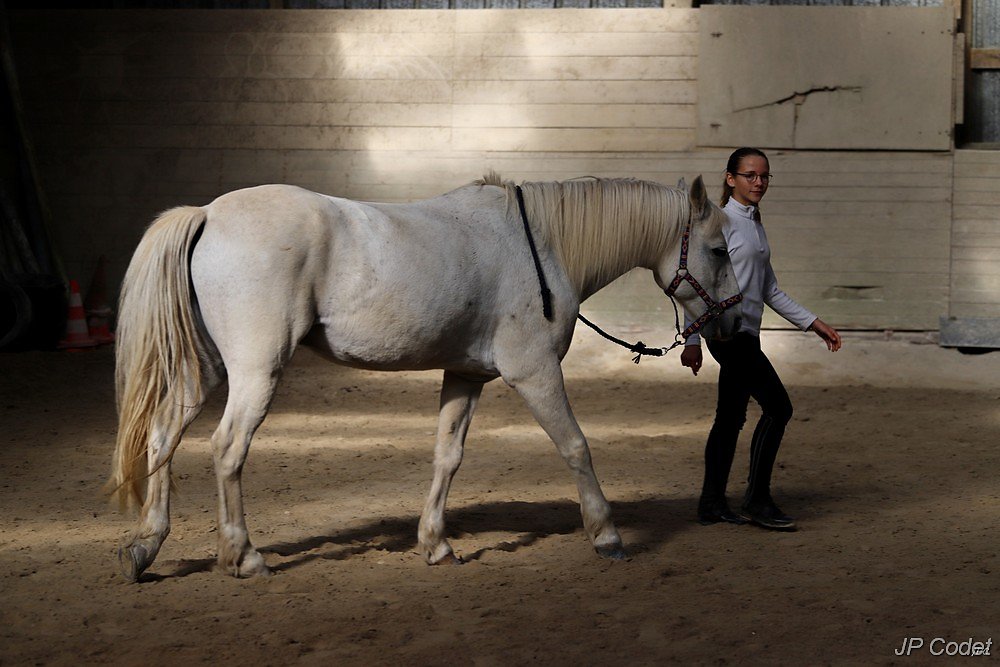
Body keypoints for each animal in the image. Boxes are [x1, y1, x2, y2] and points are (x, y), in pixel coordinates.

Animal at [107, 173, 742, 581]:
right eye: (717, 249)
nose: (735, 318)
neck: (539, 246)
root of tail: (208, 214)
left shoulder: (464, 375)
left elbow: (448, 456)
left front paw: (436, 544)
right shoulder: (534, 372)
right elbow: (575, 446)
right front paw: (606, 534)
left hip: (208, 367)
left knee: (163, 436)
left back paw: (147, 546)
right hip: (256, 370)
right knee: (227, 448)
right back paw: (242, 556)